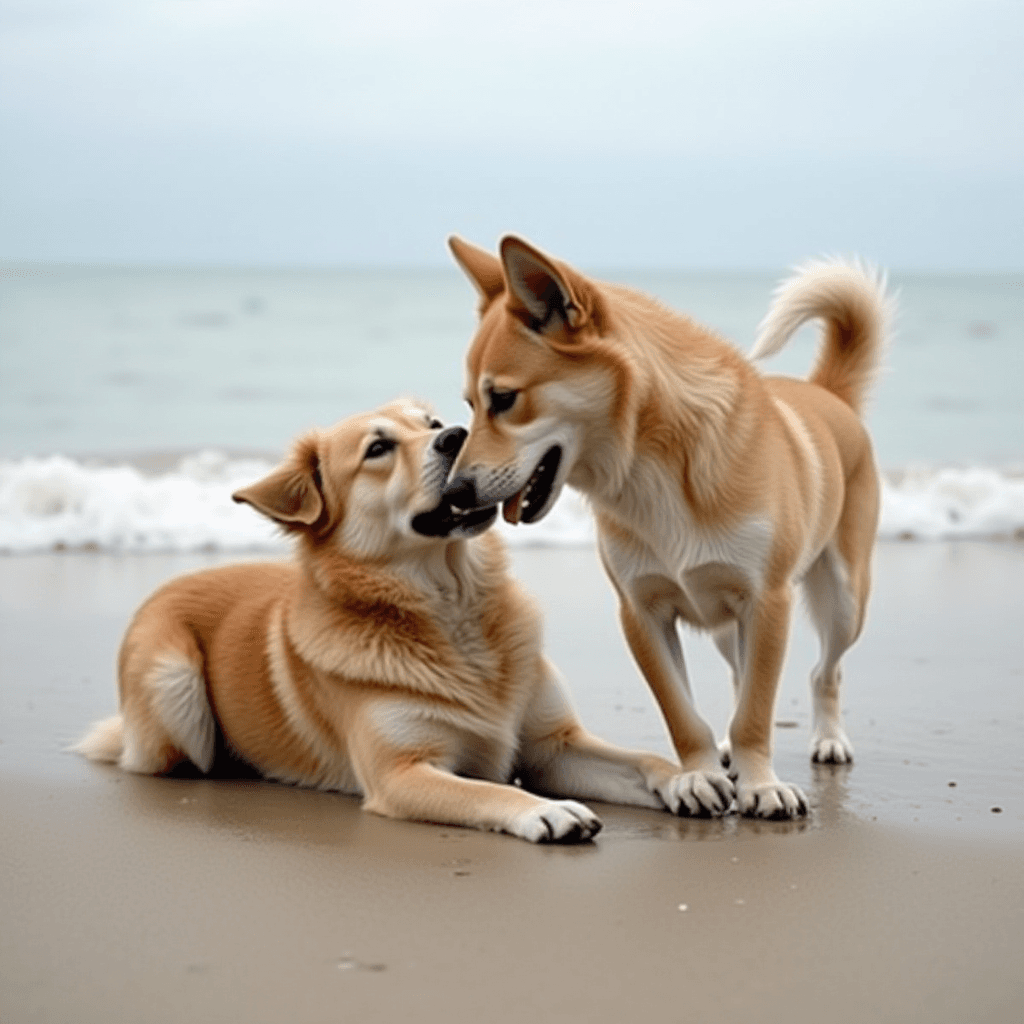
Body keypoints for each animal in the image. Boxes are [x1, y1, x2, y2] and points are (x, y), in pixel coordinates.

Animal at [75, 399, 704, 839]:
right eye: (378, 448)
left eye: (433, 421)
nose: (457, 436)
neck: (451, 607)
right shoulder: (403, 775)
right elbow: (488, 792)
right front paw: (544, 812)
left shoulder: (554, 746)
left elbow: (640, 759)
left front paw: (690, 776)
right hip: (173, 679)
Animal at [444, 235, 892, 819]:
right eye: (471, 405)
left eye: (503, 399)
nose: (454, 493)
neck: (651, 469)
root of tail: (828, 393)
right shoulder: (642, 611)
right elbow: (685, 714)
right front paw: (699, 776)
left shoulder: (767, 602)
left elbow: (756, 713)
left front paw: (761, 786)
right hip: (727, 628)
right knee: (740, 674)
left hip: (843, 601)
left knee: (823, 672)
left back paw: (829, 739)